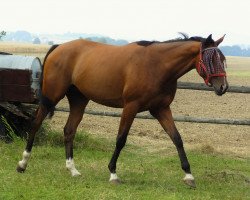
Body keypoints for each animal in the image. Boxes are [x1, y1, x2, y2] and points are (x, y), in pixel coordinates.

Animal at [16, 33, 229, 188]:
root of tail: (59, 47)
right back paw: (22, 164)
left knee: (69, 130)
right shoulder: (131, 107)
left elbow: (177, 138)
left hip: (79, 100)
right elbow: (121, 139)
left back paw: (73, 170)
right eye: (210, 59)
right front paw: (113, 173)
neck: (157, 65)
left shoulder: (161, 109)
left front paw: (188, 175)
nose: (223, 87)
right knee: (35, 125)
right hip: (51, 97)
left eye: (222, 59)